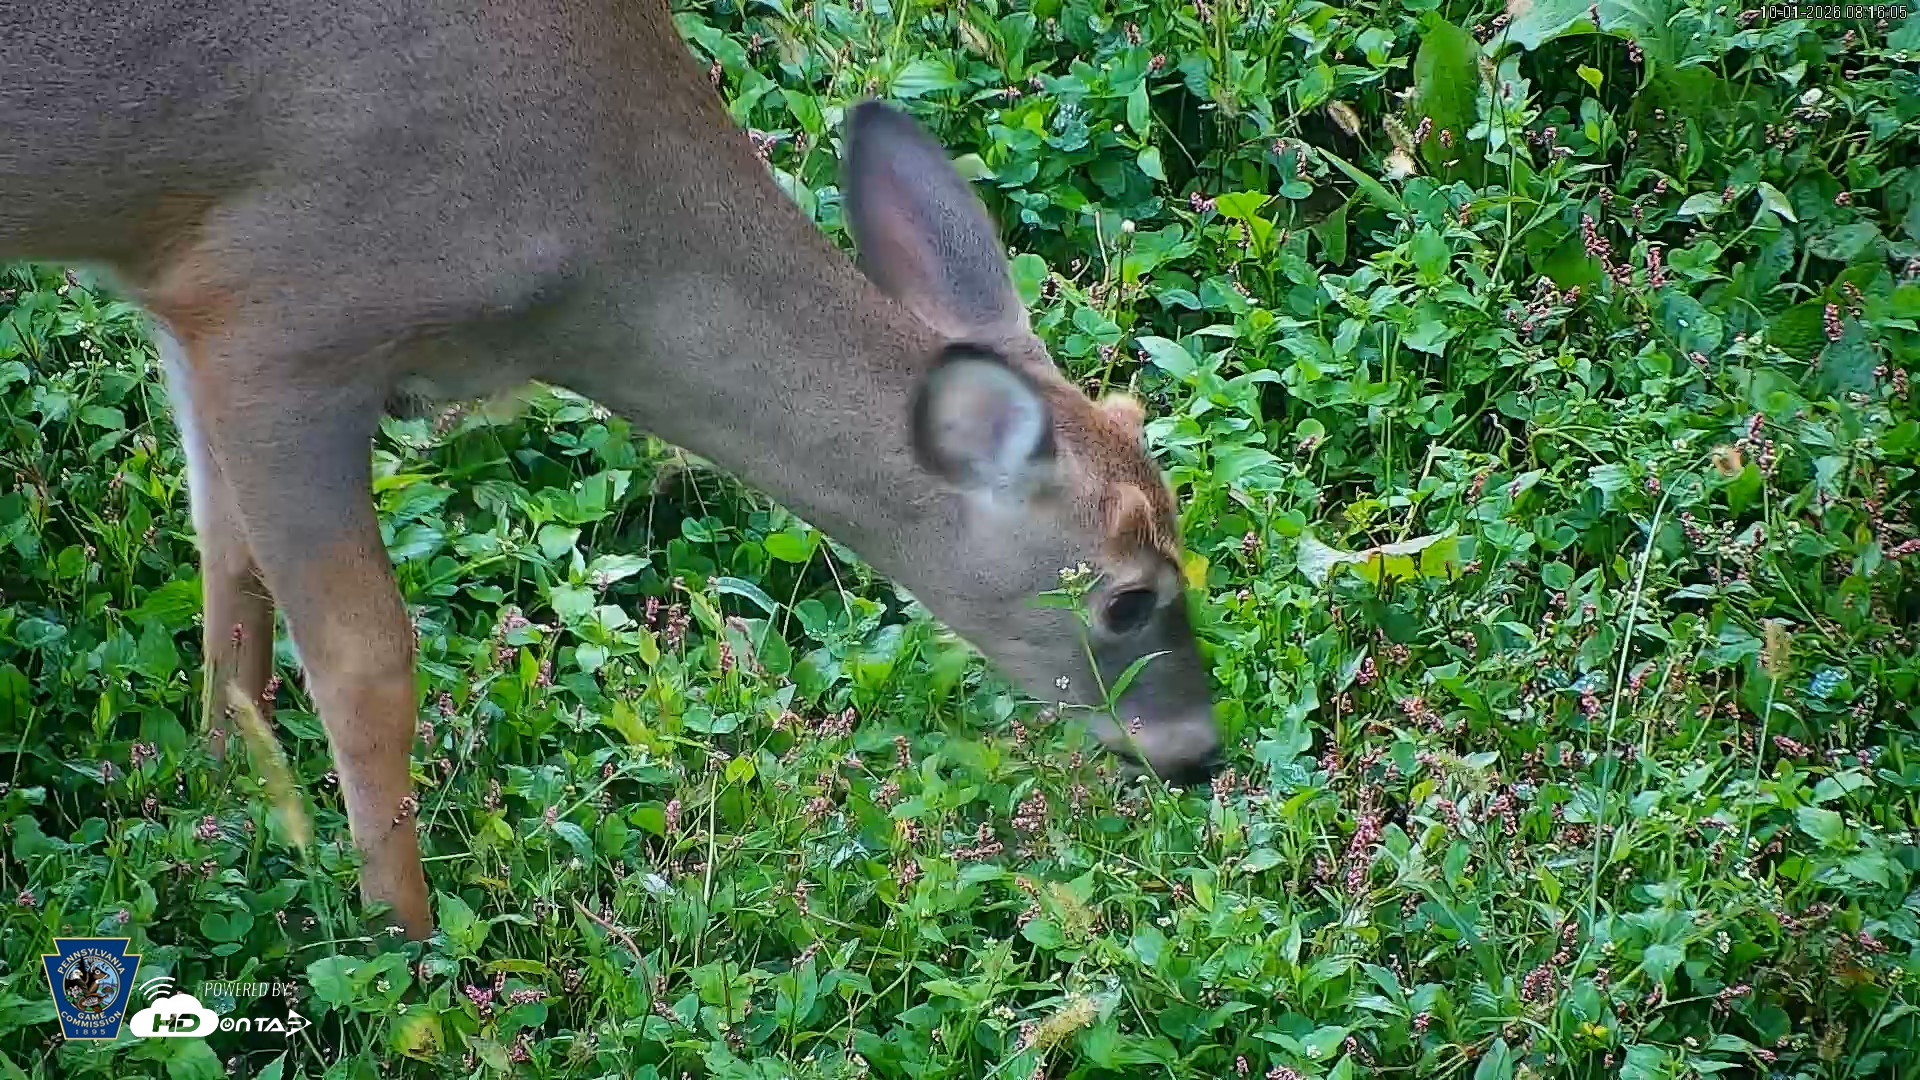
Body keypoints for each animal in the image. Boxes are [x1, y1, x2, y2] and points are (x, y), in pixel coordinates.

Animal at [1, 0, 1223, 938]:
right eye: (1126, 598)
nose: (1199, 754)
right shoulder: (283, 315)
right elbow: (366, 663)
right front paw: (404, 936)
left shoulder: (190, 302)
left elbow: (227, 560)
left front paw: (220, 780)